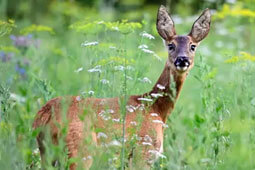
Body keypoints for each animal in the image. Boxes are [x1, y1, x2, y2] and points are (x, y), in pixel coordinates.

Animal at [31, 4, 211, 169]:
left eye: (193, 46)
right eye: (170, 45)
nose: (182, 60)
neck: (156, 109)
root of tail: (44, 115)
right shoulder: (142, 151)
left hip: (47, 153)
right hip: (80, 150)